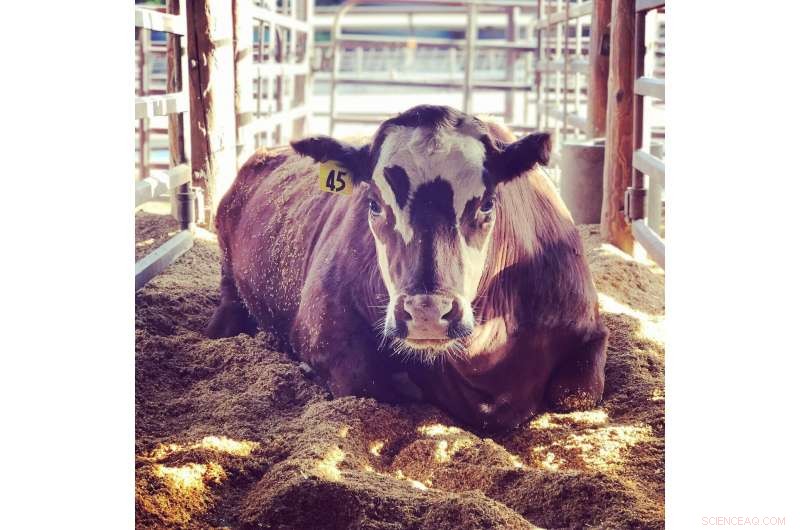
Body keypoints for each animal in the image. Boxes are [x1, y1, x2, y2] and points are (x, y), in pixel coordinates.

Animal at [206, 105, 608, 433]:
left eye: (487, 203)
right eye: (373, 203)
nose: (426, 312)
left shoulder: (589, 328)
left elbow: (577, 393)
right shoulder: (322, 327)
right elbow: (367, 381)